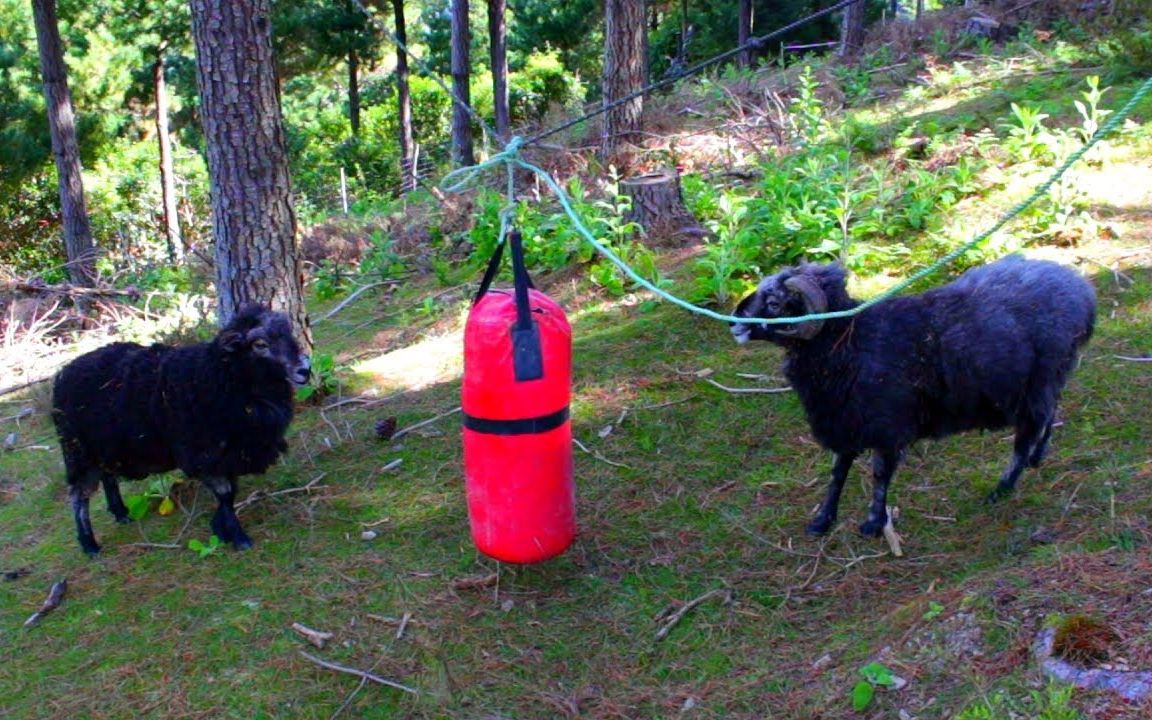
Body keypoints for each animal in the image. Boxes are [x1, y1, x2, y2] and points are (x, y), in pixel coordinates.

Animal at [52, 306, 311, 552]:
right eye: (260, 344)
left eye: (288, 333)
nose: (305, 369)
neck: (218, 376)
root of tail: (64, 372)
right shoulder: (202, 452)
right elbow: (225, 492)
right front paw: (237, 537)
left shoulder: (230, 452)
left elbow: (230, 493)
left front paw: (220, 528)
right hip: (77, 450)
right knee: (78, 496)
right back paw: (89, 544)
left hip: (105, 446)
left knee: (107, 476)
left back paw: (121, 512)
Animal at [732, 255, 1092, 536]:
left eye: (774, 303)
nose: (735, 322)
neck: (847, 341)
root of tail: (1081, 289)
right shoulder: (846, 420)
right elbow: (837, 472)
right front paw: (822, 520)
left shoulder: (887, 426)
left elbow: (879, 475)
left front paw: (873, 524)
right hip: (1048, 381)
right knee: (1050, 413)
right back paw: (1037, 457)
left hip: (1037, 383)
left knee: (1026, 435)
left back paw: (1001, 488)